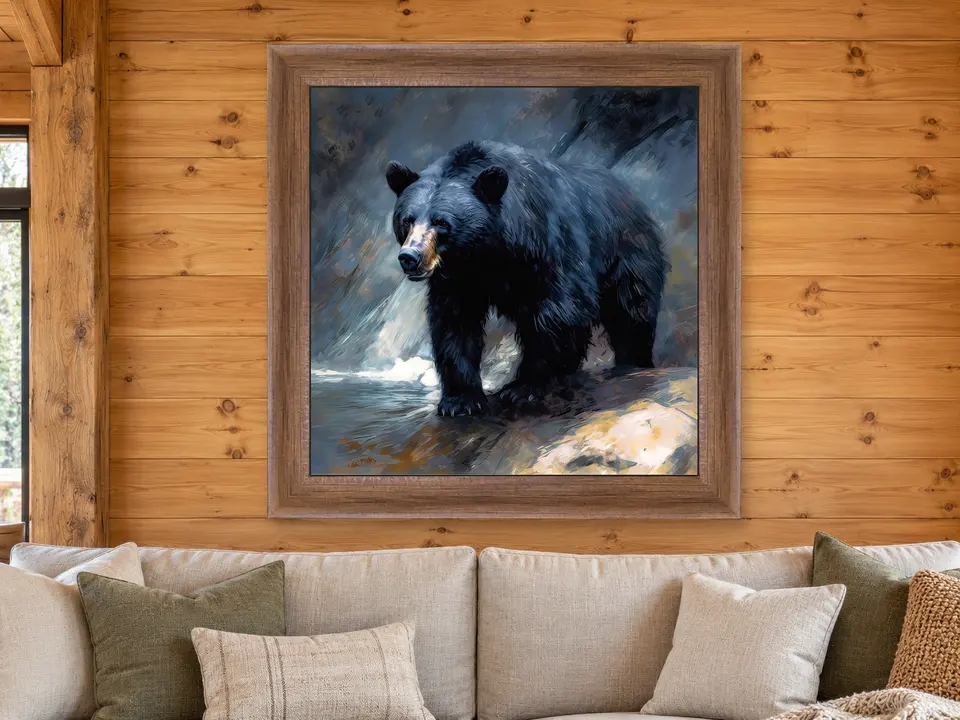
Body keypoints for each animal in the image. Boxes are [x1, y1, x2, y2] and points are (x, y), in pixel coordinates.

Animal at [385, 140, 669, 417]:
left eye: (442, 222)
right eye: (407, 220)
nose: (410, 257)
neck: (487, 252)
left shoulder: (547, 245)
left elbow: (558, 311)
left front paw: (524, 387)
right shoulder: (458, 279)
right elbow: (454, 323)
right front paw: (460, 400)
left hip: (627, 256)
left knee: (631, 314)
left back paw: (632, 363)